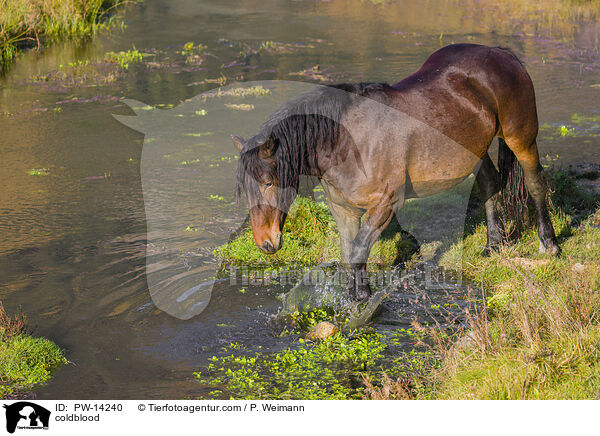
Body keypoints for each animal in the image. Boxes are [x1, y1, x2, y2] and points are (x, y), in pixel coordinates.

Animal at [233, 44, 556, 302]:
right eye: (246, 189)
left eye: (268, 182)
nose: (265, 243)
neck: (346, 141)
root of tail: (502, 53)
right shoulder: (343, 210)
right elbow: (350, 254)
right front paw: (353, 296)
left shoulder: (385, 204)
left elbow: (359, 250)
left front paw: (363, 300)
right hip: (475, 148)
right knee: (490, 183)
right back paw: (493, 245)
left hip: (521, 138)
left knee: (535, 184)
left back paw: (549, 243)